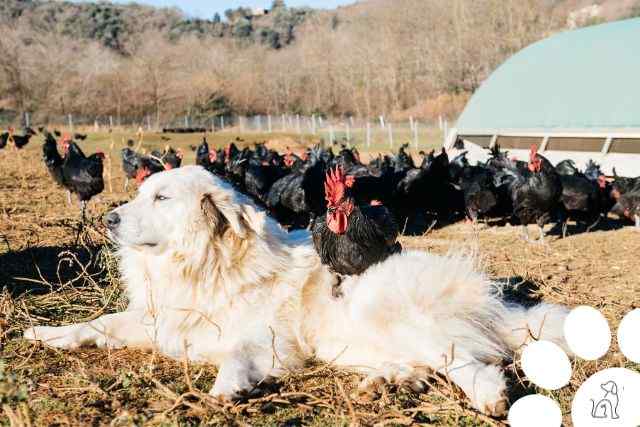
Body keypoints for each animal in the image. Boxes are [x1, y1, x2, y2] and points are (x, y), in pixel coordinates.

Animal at [22, 166, 568, 416]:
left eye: (161, 198)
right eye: (140, 194)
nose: (110, 219)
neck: (205, 264)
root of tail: (493, 300)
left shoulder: (266, 340)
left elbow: (235, 356)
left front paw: (227, 389)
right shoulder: (161, 319)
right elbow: (99, 324)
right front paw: (49, 334)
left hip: (393, 319)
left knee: (471, 362)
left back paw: (488, 395)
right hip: (348, 342)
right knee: (426, 365)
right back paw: (389, 382)